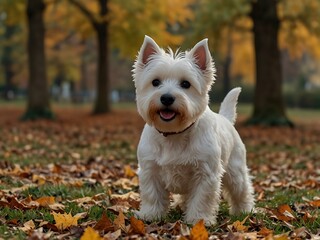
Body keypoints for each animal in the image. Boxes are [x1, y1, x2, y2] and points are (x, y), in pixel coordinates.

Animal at [131, 35, 254, 225]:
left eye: (185, 84)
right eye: (155, 82)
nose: (167, 98)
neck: (174, 134)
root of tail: (226, 119)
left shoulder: (205, 173)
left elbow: (202, 198)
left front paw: (198, 219)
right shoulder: (150, 170)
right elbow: (152, 195)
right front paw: (150, 215)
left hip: (235, 170)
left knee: (242, 189)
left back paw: (244, 210)